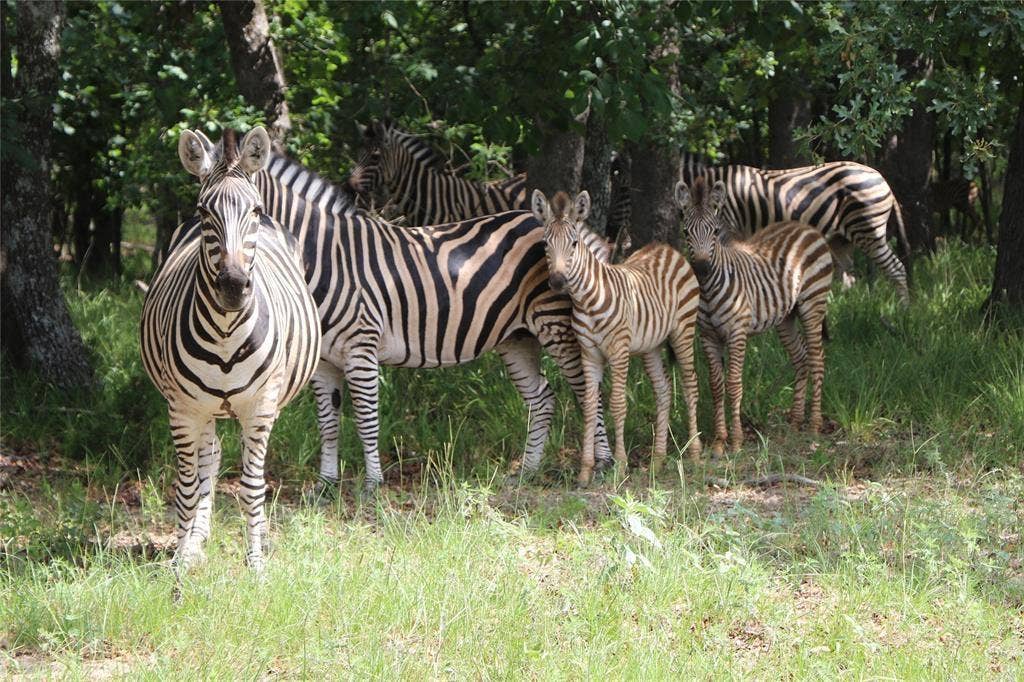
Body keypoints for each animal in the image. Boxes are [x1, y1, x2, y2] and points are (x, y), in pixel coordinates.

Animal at [140, 127, 321, 573]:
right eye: (204, 213)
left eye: (254, 210)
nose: (234, 287)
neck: (224, 334)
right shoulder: (182, 409)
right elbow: (188, 488)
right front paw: (180, 562)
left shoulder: (261, 406)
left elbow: (252, 487)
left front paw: (256, 563)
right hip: (202, 409)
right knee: (210, 458)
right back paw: (195, 541)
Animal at [237, 146, 618, 492]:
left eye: (249, 212)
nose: (230, 283)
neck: (326, 257)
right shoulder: (325, 361)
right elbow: (327, 422)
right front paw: (325, 485)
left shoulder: (361, 347)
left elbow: (365, 418)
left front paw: (372, 485)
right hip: (517, 337)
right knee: (542, 399)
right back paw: (527, 471)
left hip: (555, 324)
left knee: (587, 391)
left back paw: (601, 465)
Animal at [532, 189, 702, 486]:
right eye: (545, 244)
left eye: (574, 243)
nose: (557, 282)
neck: (588, 300)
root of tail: (667, 249)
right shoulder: (589, 353)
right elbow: (589, 407)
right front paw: (585, 471)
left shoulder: (619, 351)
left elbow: (618, 404)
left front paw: (620, 465)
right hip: (650, 346)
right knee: (663, 390)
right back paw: (658, 460)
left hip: (683, 330)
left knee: (690, 383)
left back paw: (694, 452)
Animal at [675, 177, 834, 456]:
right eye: (686, 233)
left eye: (715, 232)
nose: (702, 269)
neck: (708, 290)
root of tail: (805, 227)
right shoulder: (708, 336)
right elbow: (716, 386)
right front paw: (719, 441)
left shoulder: (737, 333)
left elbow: (734, 384)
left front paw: (736, 441)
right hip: (786, 317)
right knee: (801, 358)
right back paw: (795, 422)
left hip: (813, 304)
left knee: (817, 359)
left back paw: (814, 425)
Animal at [679, 152, 909, 303]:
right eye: (685, 231)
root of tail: (881, 178)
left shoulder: (729, 229)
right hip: (841, 239)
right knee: (849, 277)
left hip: (868, 230)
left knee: (896, 269)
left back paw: (902, 313)